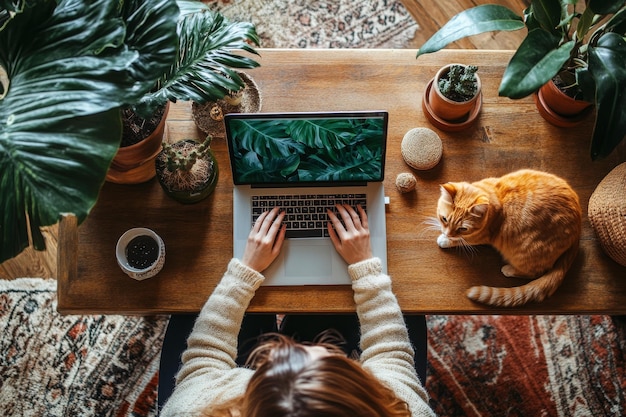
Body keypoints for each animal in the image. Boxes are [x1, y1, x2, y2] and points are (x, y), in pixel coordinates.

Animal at [434, 167, 580, 308]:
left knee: (535, 272)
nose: (448, 234)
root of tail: (578, 229)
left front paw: (445, 240)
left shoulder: (481, 237)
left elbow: (461, 240)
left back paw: (509, 269)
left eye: (463, 229)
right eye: (444, 219)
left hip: (525, 252)